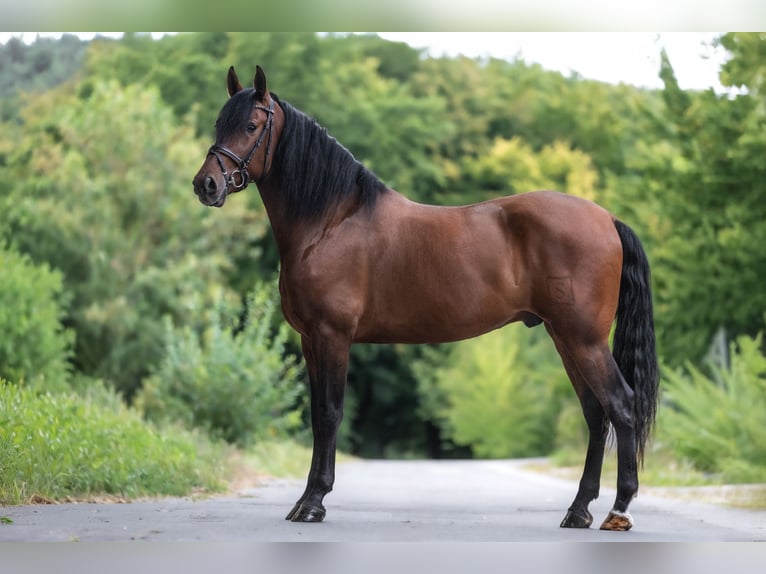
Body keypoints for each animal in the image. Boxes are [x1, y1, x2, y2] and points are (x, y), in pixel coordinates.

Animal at [193, 66, 659, 531]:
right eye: (220, 122)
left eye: (251, 126)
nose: (206, 184)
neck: (331, 222)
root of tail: (607, 219)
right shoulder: (310, 340)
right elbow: (316, 416)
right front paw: (307, 499)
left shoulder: (332, 336)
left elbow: (329, 414)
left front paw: (313, 503)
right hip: (566, 339)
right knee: (596, 414)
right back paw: (579, 510)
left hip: (584, 340)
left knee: (621, 405)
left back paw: (618, 510)